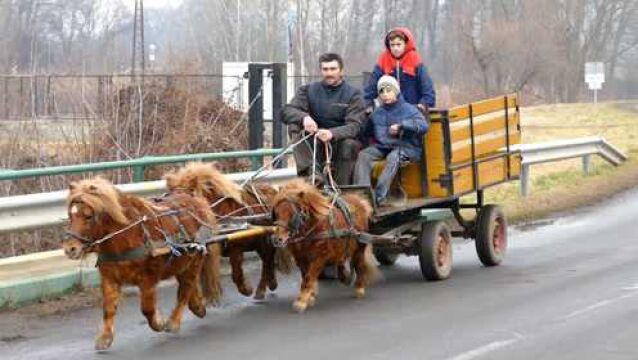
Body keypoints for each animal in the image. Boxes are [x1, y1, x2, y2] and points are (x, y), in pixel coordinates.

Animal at [62, 179, 222, 350]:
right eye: (70, 215)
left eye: (88, 216)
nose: (70, 249)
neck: (126, 235)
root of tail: (197, 201)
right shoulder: (109, 278)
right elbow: (108, 308)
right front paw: (105, 338)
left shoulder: (148, 279)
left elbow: (147, 309)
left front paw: (160, 322)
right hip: (182, 262)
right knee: (188, 285)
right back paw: (197, 307)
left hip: (195, 259)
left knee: (185, 289)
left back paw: (174, 321)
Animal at [165, 162, 296, 300]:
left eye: (183, 202)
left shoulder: (236, 248)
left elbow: (236, 274)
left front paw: (246, 289)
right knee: (268, 262)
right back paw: (270, 283)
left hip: (265, 242)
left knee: (267, 261)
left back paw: (262, 289)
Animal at [272, 180, 380, 312]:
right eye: (276, 213)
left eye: (292, 213)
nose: (278, 239)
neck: (312, 229)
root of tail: (360, 201)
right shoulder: (300, 259)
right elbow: (305, 276)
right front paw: (310, 295)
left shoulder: (319, 258)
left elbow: (309, 277)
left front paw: (301, 301)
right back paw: (344, 276)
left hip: (359, 247)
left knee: (359, 264)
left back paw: (359, 287)